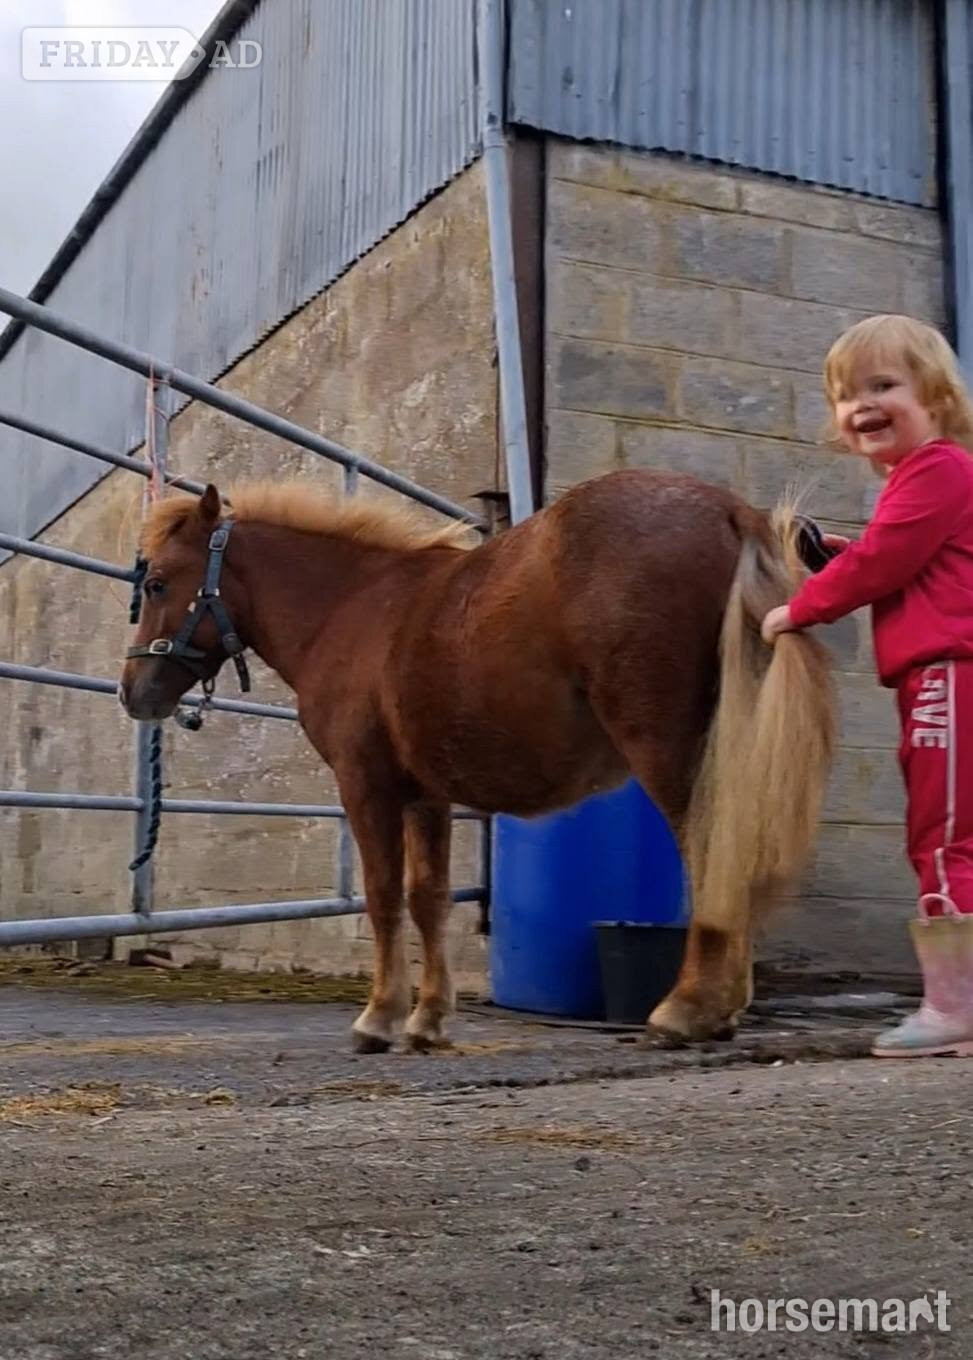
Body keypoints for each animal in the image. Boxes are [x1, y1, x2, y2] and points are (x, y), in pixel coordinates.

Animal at [119, 469, 835, 1052]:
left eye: (156, 582)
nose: (133, 693)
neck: (350, 609)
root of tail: (731, 511)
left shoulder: (366, 785)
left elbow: (383, 896)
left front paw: (379, 1018)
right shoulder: (425, 795)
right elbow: (428, 898)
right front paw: (428, 1019)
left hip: (668, 747)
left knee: (712, 853)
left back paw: (687, 1009)